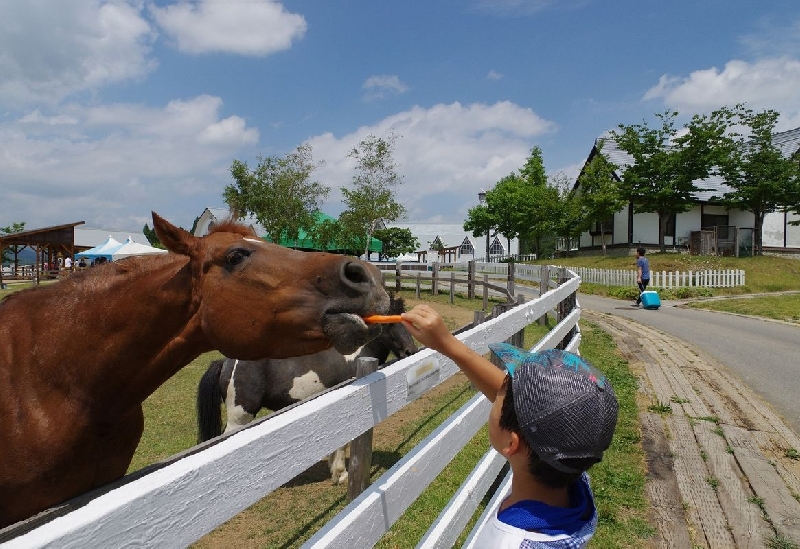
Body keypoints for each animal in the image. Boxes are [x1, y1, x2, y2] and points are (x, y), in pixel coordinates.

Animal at [198, 298, 418, 482]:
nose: (411, 351)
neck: (355, 356)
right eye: (389, 323)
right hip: (239, 417)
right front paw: (341, 474)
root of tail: (226, 362)